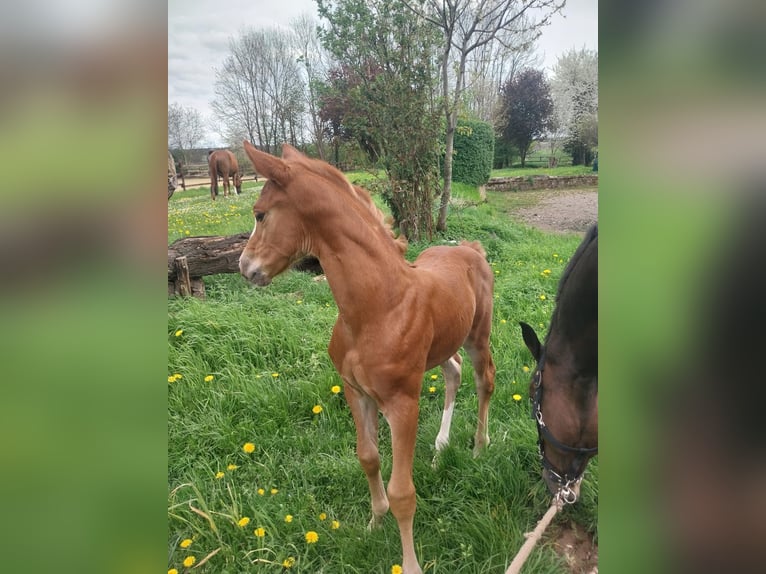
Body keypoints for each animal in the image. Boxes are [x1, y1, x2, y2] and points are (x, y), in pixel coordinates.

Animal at [238, 141, 498, 574]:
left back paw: (479, 447)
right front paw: (374, 523)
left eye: (260, 214)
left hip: (478, 336)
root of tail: (471, 248)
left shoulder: (403, 404)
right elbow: (368, 458)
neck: (378, 306)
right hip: (443, 346)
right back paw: (441, 446)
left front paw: (410, 563)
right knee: (453, 373)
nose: (244, 267)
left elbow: (403, 492)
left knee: (484, 380)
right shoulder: (356, 392)